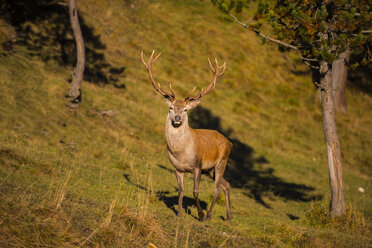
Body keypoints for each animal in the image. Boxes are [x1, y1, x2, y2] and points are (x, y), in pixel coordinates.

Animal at [142, 50, 232, 221]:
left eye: (185, 110)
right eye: (171, 108)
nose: (177, 118)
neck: (181, 152)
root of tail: (229, 142)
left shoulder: (197, 165)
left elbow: (195, 191)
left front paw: (200, 214)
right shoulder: (178, 168)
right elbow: (181, 190)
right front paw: (179, 214)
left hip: (221, 162)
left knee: (217, 187)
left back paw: (209, 215)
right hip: (210, 169)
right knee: (227, 185)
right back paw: (229, 216)